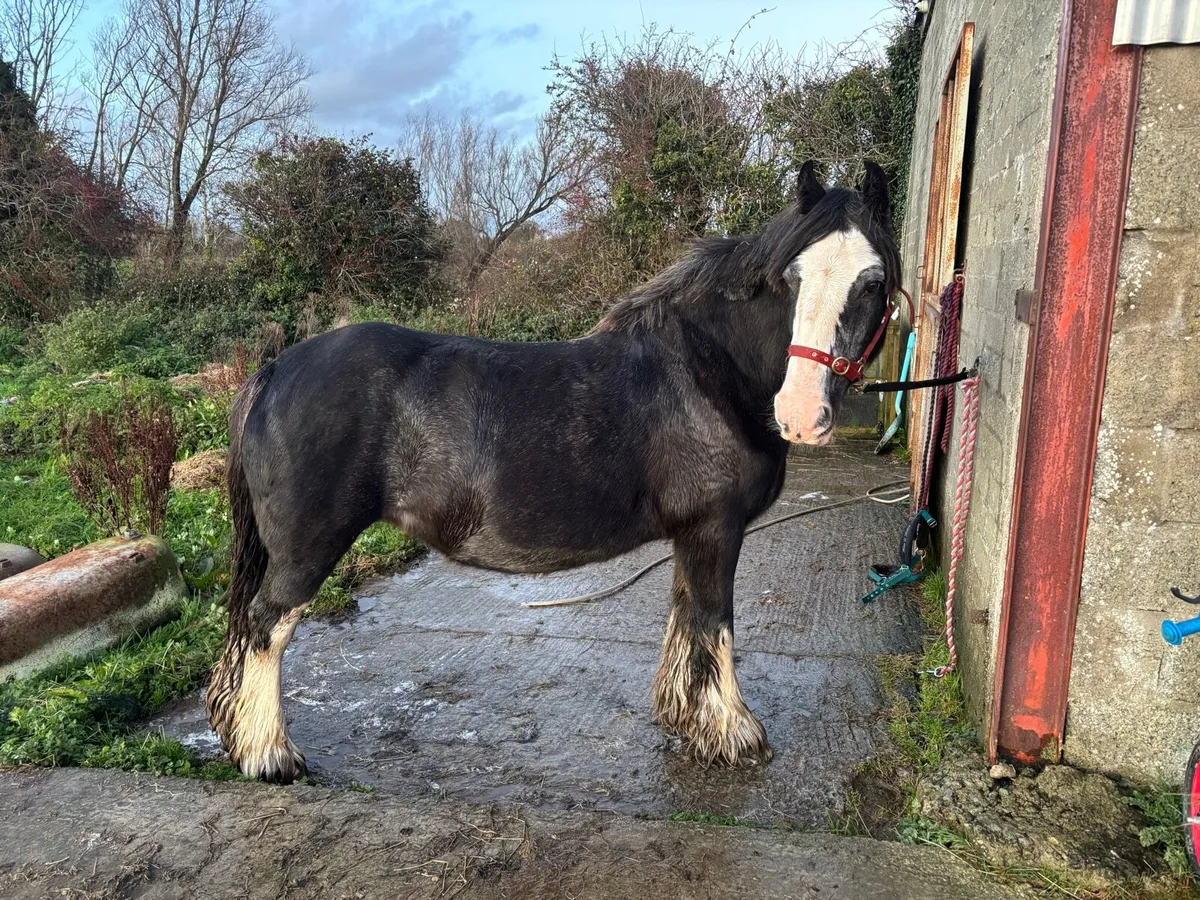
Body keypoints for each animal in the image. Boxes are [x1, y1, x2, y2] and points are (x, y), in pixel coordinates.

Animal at [205, 160, 902, 784]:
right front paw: (733, 732)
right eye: (791, 279)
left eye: (871, 283)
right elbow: (715, 624)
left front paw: (686, 719)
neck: (709, 372)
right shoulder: (716, 529)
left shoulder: (692, 534)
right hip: (307, 550)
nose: (802, 414)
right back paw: (269, 756)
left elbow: (685, 618)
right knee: (266, 627)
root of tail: (275, 369)